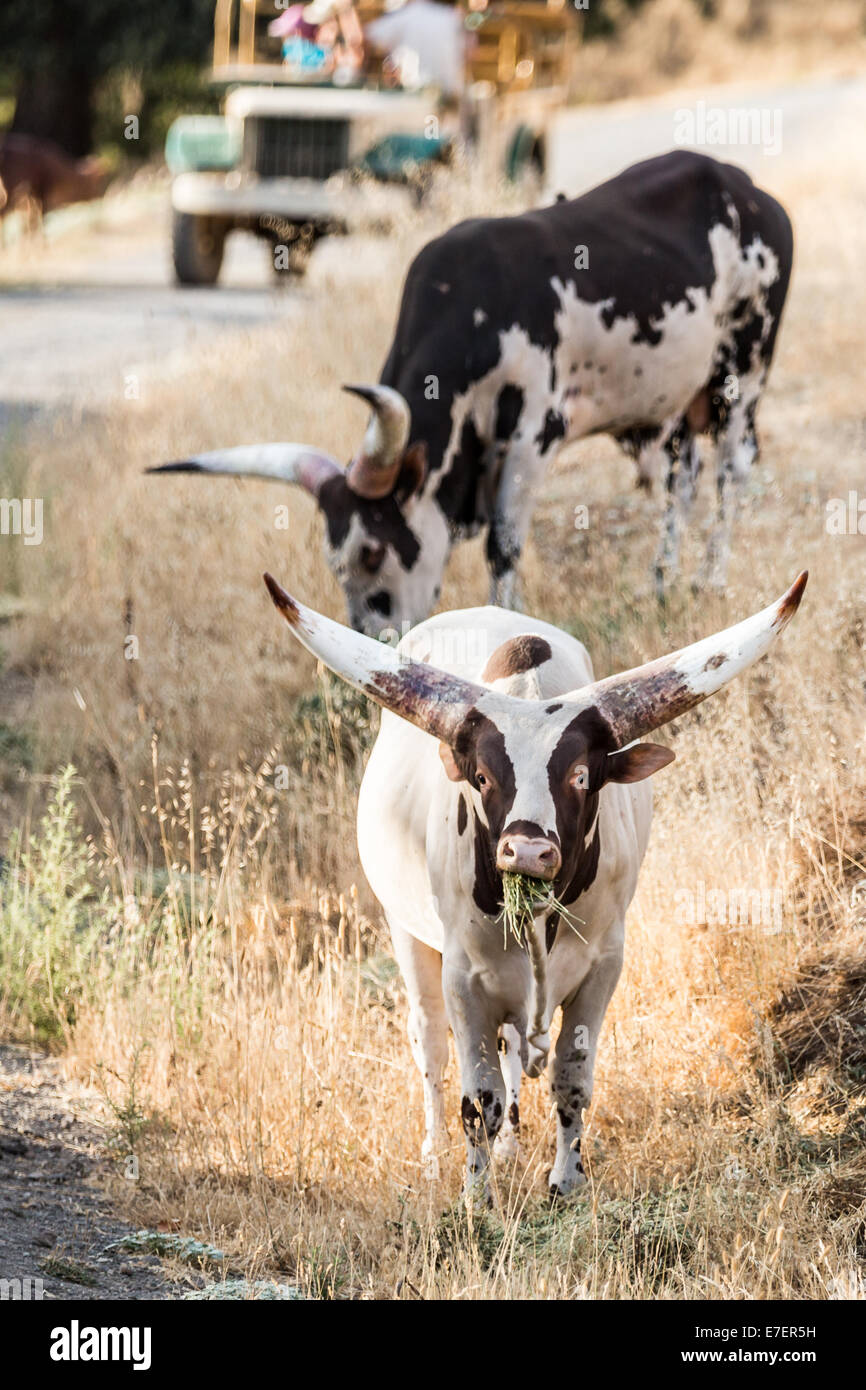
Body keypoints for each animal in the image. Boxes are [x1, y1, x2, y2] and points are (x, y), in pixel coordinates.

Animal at [154, 150, 795, 631]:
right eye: (334, 561)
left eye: (372, 550)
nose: (375, 639)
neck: (472, 306)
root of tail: (747, 189)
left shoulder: (534, 435)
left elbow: (502, 548)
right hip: (672, 404)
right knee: (681, 482)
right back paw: (661, 583)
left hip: (744, 370)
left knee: (731, 470)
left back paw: (710, 579)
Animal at [264, 569, 806, 1200]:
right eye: (481, 776)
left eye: (581, 775)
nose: (526, 851)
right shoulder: (464, 975)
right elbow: (479, 1097)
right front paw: (477, 1198)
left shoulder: (603, 966)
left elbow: (571, 1081)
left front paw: (566, 1182)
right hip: (406, 932)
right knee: (430, 1046)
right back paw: (434, 1155)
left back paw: (511, 1147)